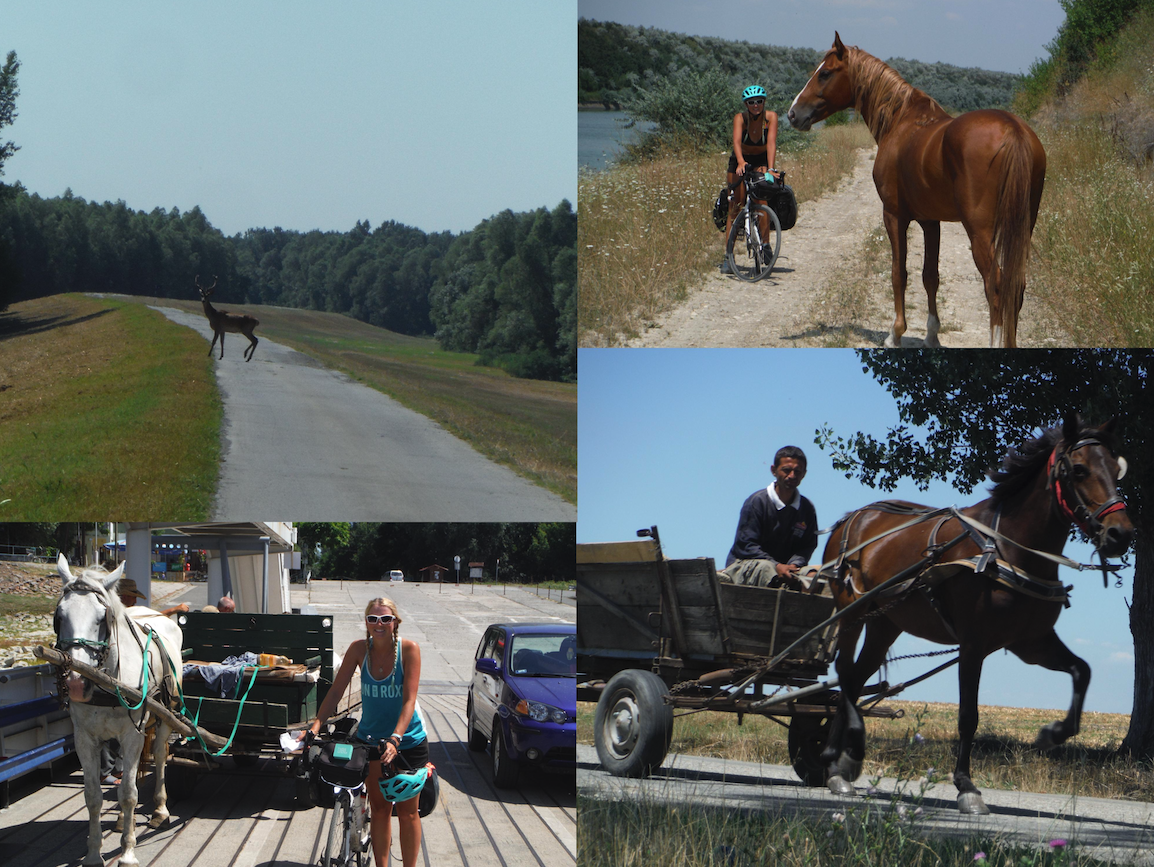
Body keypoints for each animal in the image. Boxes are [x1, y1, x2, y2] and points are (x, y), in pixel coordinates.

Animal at [55, 556, 183, 867]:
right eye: (60, 616)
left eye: (102, 618)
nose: (76, 683)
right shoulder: (84, 738)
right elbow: (93, 796)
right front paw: (93, 853)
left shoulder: (133, 735)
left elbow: (128, 795)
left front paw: (127, 853)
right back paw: (124, 822)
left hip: (165, 716)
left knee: (159, 755)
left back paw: (160, 810)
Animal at [784, 34, 1047, 346]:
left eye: (824, 73)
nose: (793, 114)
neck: (900, 121)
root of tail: (1013, 130)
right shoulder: (930, 221)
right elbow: (930, 276)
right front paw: (931, 334)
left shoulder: (894, 215)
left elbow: (899, 272)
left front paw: (895, 333)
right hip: (1022, 228)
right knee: (1016, 286)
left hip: (980, 231)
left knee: (995, 285)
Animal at [821, 417, 1135, 817]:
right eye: (1079, 470)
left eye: (1116, 469)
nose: (1120, 533)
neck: (1006, 548)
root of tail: (852, 518)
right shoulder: (973, 645)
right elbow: (968, 715)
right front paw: (966, 786)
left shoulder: (1031, 643)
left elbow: (1083, 671)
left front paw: (1053, 734)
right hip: (853, 610)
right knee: (845, 673)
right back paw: (847, 753)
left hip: (885, 623)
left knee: (857, 676)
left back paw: (837, 762)